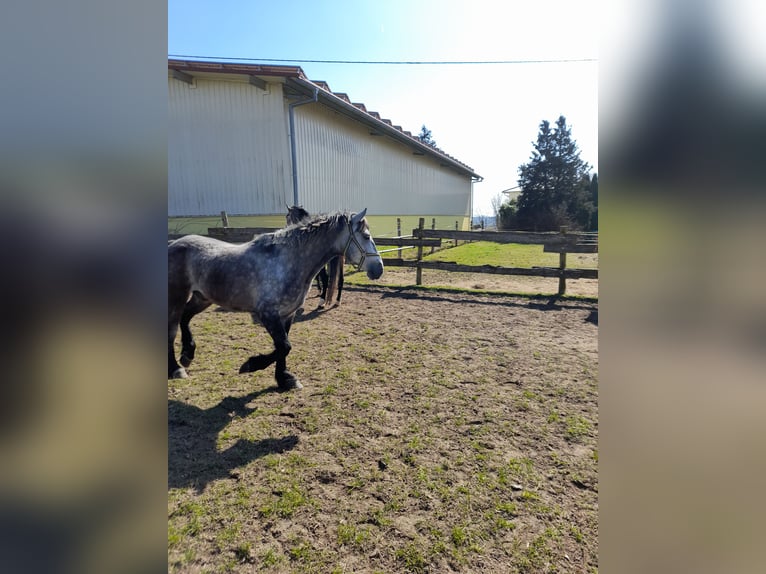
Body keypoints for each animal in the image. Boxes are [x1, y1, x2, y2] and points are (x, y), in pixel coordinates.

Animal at [168, 209, 383, 389]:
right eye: (366, 236)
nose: (378, 269)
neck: (288, 261)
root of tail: (173, 244)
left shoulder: (287, 315)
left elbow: (283, 347)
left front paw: (285, 378)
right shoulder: (268, 314)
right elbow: (284, 346)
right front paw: (250, 365)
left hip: (202, 297)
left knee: (185, 318)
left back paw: (187, 355)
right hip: (177, 297)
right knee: (172, 330)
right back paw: (176, 368)